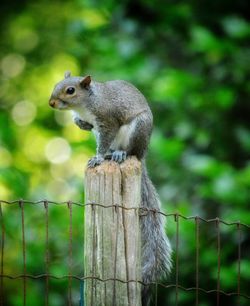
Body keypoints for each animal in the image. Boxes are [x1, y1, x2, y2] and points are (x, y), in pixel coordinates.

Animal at [48, 71, 172, 306]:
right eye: (56, 84)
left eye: (70, 90)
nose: (51, 103)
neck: (87, 104)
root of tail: (142, 154)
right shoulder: (95, 125)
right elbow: (82, 123)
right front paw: (80, 124)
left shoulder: (107, 121)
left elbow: (105, 137)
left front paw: (97, 157)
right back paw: (110, 154)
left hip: (137, 131)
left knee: (128, 151)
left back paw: (118, 154)